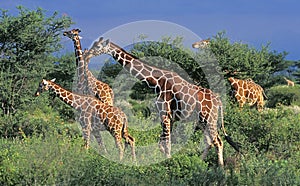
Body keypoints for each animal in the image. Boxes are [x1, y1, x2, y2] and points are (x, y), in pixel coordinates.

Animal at [86, 36, 239, 166]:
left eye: (97, 46)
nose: (87, 53)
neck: (156, 82)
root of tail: (219, 102)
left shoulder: (164, 113)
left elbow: (166, 143)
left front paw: (168, 162)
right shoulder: (169, 117)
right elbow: (162, 144)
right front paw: (167, 160)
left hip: (209, 119)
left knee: (218, 142)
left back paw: (221, 169)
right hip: (201, 121)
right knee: (209, 141)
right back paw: (199, 162)